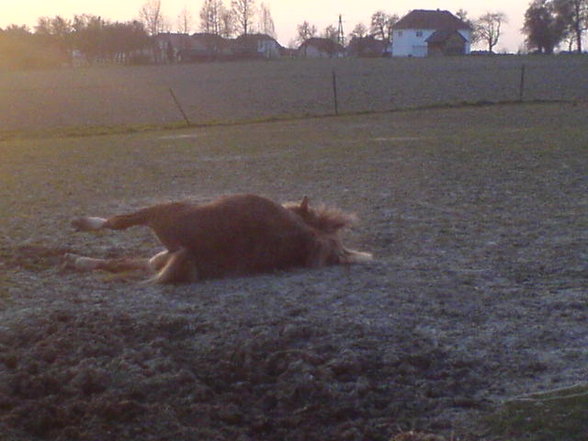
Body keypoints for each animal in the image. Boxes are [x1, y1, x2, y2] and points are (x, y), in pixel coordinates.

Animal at [65, 194, 372, 284]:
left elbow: (118, 227)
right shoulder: (158, 261)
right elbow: (125, 262)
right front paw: (79, 261)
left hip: (165, 211)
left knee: (118, 221)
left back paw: (80, 226)